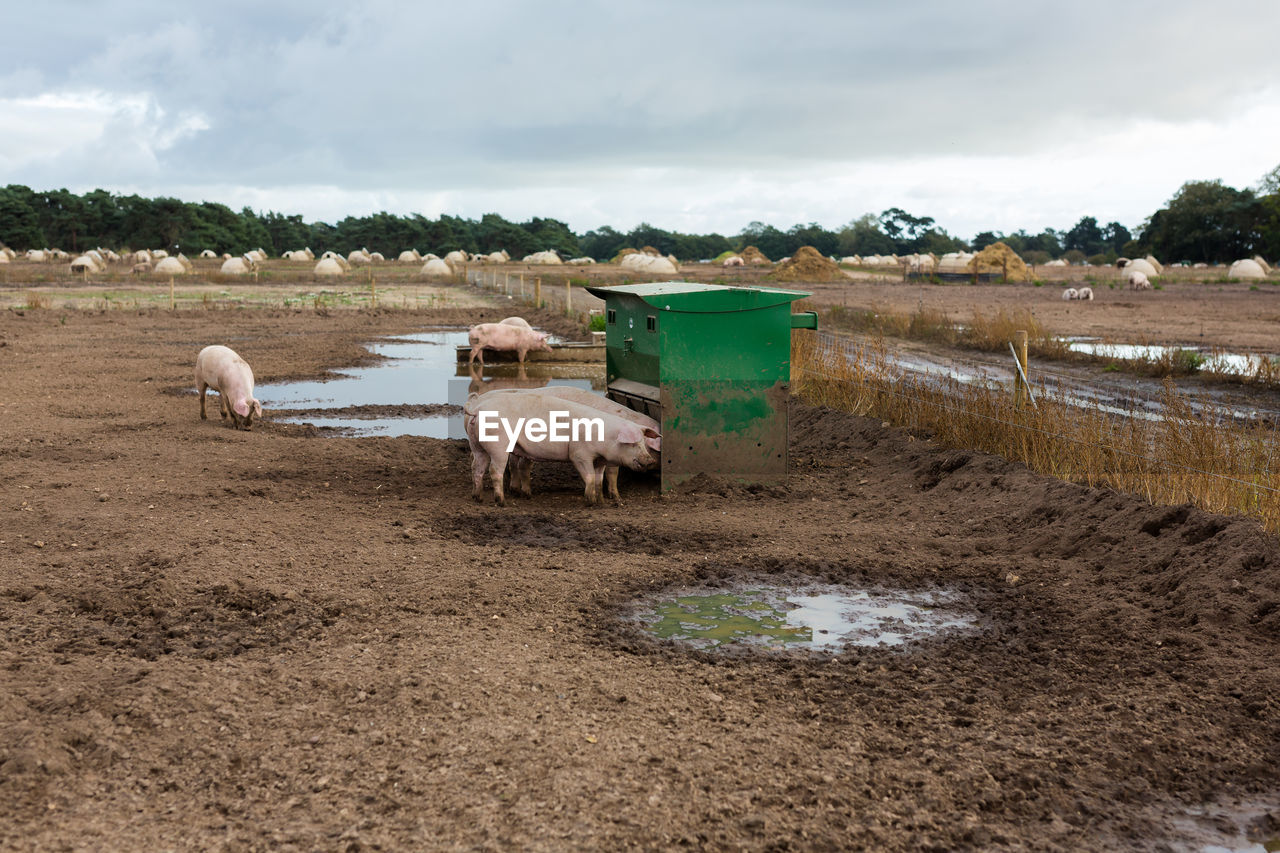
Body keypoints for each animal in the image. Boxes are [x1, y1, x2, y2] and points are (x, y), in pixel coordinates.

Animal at [463, 389, 660, 504]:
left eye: (642, 442)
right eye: (633, 443)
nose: (650, 461)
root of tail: (477, 408)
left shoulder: (600, 460)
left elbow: (598, 478)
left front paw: (601, 501)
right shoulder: (579, 454)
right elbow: (598, 476)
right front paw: (594, 501)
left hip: (477, 445)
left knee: (477, 467)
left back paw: (478, 497)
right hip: (498, 446)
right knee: (495, 470)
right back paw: (502, 501)